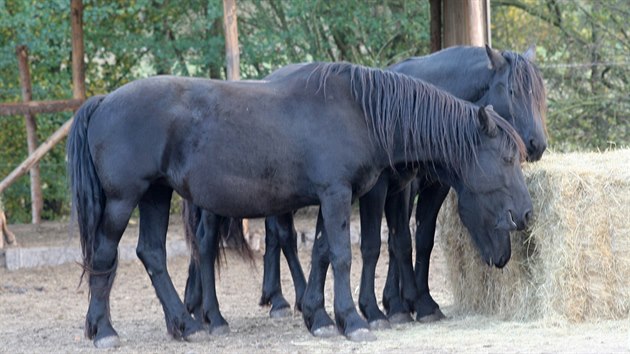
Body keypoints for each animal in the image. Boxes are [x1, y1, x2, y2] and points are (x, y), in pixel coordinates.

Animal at [68, 61, 532, 348]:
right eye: (507, 158)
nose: (526, 214)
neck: (359, 111)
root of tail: (103, 101)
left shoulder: (334, 197)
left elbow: (323, 251)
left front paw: (320, 317)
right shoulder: (336, 193)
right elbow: (344, 255)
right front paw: (355, 320)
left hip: (156, 195)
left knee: (153, 254)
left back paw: (186, 324)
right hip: (124, 199)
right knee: (108, 254)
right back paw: (106, 329)